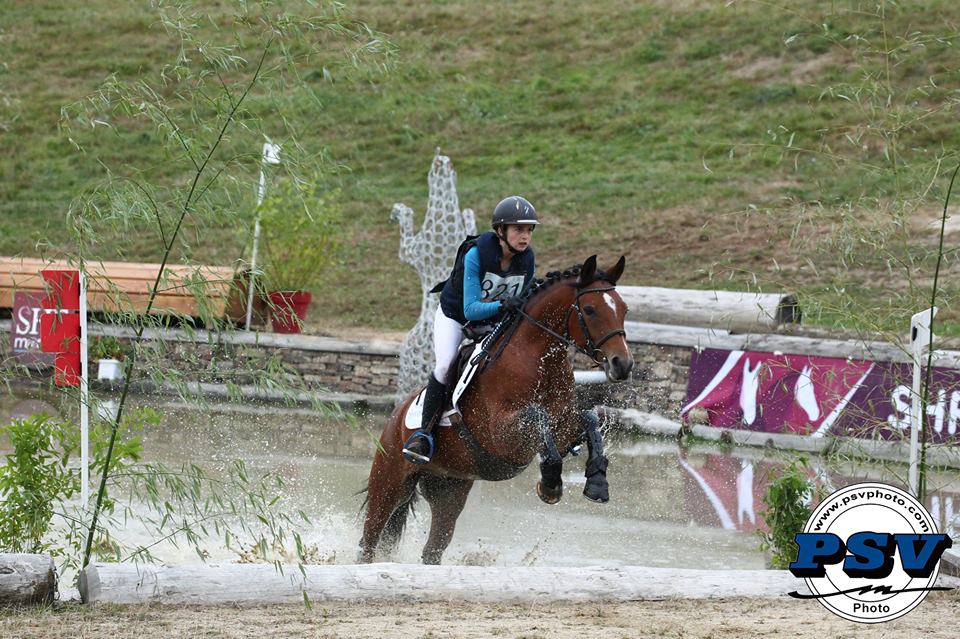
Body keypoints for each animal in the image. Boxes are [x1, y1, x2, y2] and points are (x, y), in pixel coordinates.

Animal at [356, 255, 632, 564]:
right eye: (590, 309)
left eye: (624, 309)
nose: (622, 364)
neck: (538, 360)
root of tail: (395, 416)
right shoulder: (502, 433)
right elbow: (536, 416)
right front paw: (550, 484)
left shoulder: (562, 427)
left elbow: (589, 418)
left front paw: (597, 482)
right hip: (389, 482)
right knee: (369, 540)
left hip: (449, 489)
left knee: (433, 548)